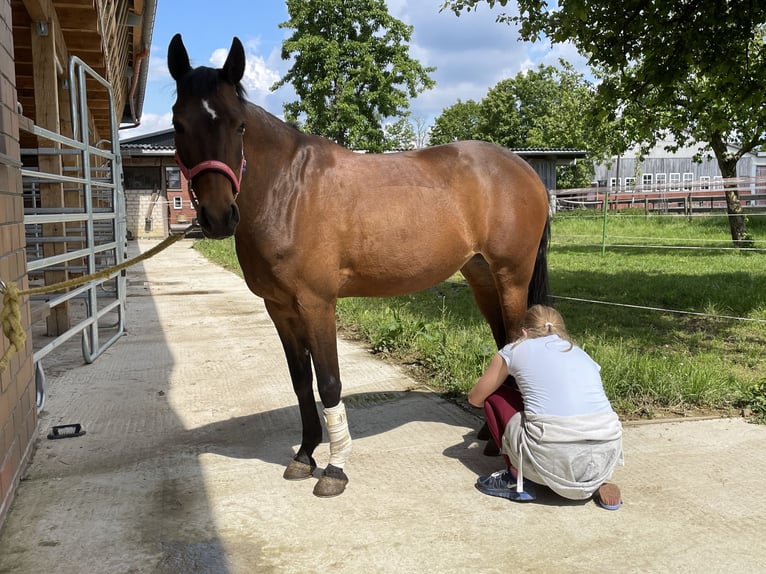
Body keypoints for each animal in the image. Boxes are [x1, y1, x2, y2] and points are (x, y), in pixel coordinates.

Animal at [168, 35, 552, 500]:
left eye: (239, 126)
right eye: (178, 123)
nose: (219, 216)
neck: (287, 191)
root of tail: (524, 168)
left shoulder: (317, 304)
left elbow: (330, 382)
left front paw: (335, 469)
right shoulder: (279, 309)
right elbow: (301, 382)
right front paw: (304, 456)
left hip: (512, 277)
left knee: (514, 345)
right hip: (482, 278)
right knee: (501, 346)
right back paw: (487, 435)